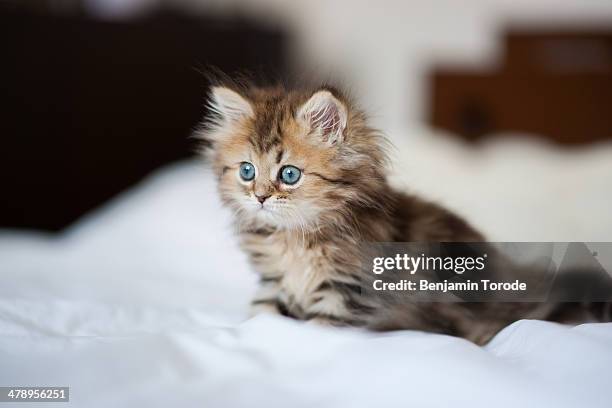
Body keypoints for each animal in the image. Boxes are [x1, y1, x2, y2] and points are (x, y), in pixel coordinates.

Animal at [198, 82, 608, 344]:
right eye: (247, 171)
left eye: (289, 175)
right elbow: (262, 315)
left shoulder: (348, 292)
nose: (260, 198)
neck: (295, 238)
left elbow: (318, 330)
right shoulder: (274, 283)